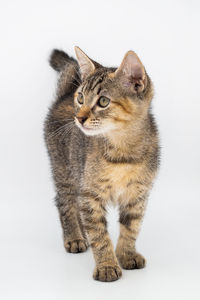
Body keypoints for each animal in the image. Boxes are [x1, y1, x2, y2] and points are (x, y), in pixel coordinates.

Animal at [43, 46, 159, 282]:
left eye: (103, 101)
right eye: (81, 98)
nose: (79, 118)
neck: (123, 152)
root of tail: (63, 96)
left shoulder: (138, 194)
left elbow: (131, 227)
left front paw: (127, 254)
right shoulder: (91, 194)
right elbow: (99, 233)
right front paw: (107, 265)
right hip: (65, 170)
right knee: (65, 202)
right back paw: (75, 237)